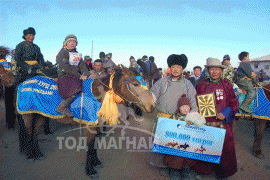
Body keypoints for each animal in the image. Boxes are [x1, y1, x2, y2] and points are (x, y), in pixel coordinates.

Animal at [16, 65, 155, 177]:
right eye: (135, 84)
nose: (152, 105)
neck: (97, 95)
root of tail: (23, 83)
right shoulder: (90, 126)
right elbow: (90, 145)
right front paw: (90, 170)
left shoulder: (97, 125)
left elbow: (94, 145)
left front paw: (96, 162)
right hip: (28, 115)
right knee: (29, 133)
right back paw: (31, 155)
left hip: (41, 115)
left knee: (34, 134)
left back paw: (38, 154)